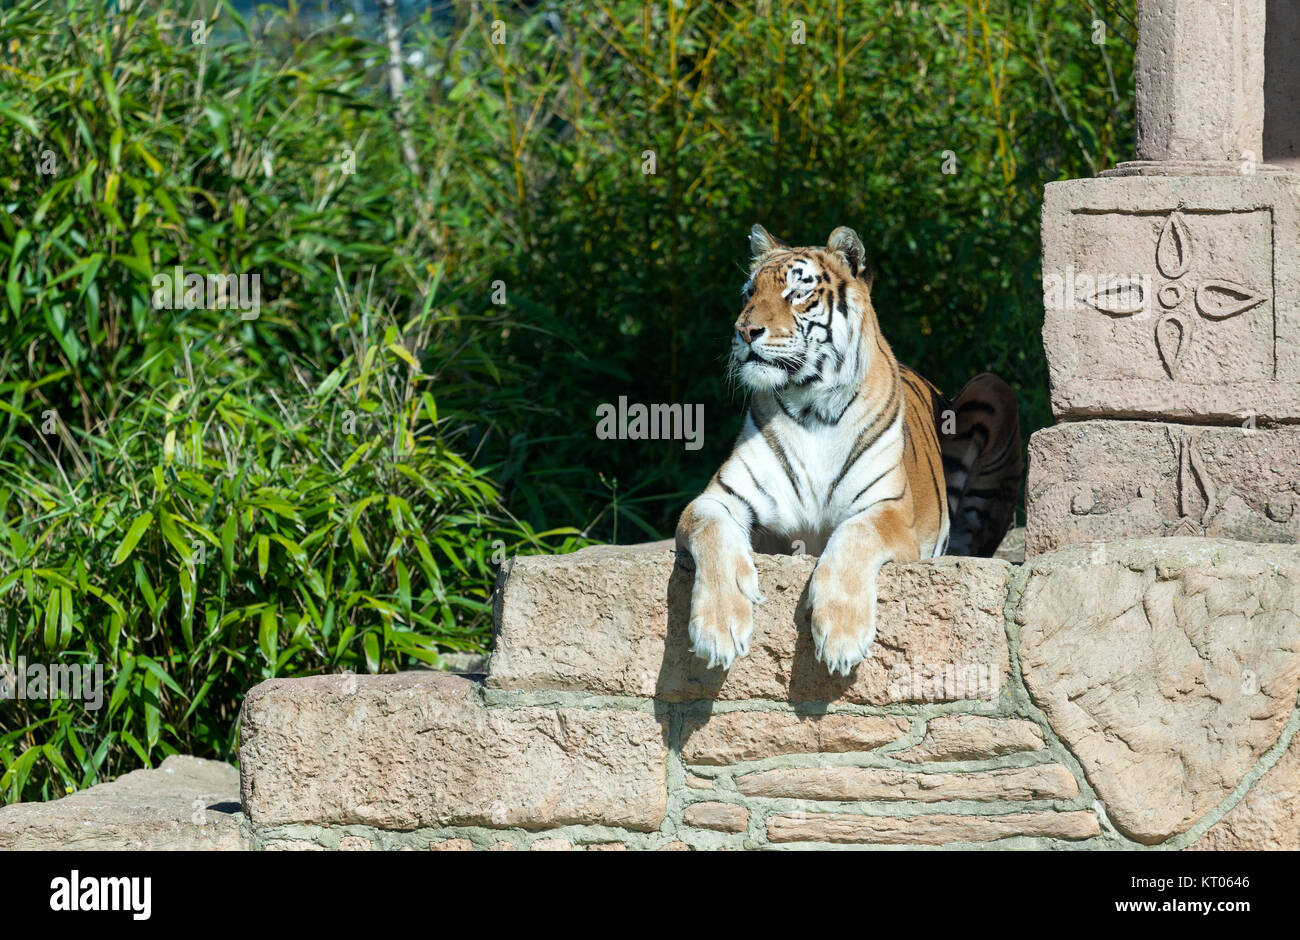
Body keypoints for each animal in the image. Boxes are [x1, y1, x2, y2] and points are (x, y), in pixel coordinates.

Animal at [676, 222, 1019, 676]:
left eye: (796, 293)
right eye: (749, 293)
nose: (745, 331)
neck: (810, 407)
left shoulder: (889, 511)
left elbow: (854, 534)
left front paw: (841, 635)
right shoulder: (717, 499)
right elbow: (712, 531)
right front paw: (718, 628)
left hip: (992, 386)